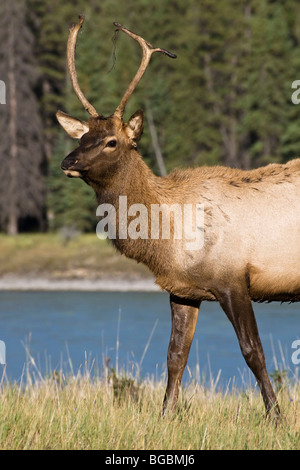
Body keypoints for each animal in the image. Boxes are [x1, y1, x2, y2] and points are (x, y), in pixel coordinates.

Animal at [56, 15, 300, 418]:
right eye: (82, 138)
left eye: (111, 142)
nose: (67, 161)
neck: (167, 235)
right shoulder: (182, 290)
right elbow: (175, 356)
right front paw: (165, 416)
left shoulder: (233, 279)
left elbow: (253, 352)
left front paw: (276, 417)